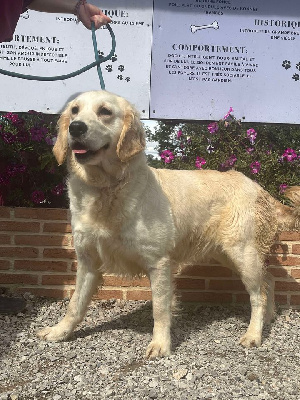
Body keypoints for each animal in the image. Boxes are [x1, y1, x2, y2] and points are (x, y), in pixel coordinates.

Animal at [36, 91, 298, 360]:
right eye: (74, 110)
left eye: (105, 111)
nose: (76, 127)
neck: (106, 189)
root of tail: (258, 187)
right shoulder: (88, 261)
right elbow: (75, 303)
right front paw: (60, 331)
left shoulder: (159, 262)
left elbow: (160, 310)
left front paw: (161, 344)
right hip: (228, 255)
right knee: (268, 282)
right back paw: (267, 320)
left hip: (242, 254)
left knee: (258, 294)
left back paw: (254, 334)